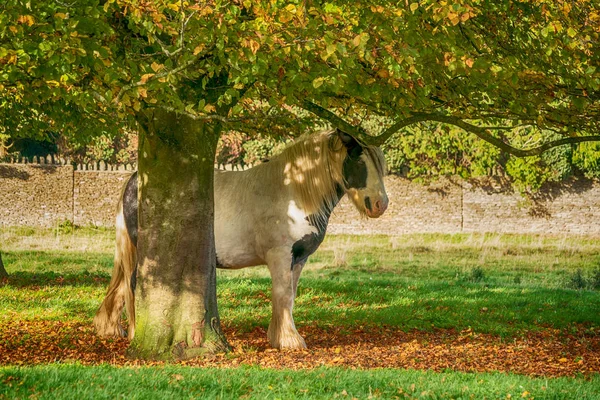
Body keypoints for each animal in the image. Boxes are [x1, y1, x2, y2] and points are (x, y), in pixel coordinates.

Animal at [94, 129, 390, 350]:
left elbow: (289, 296)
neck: (293, 193)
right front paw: (290, 341)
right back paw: (135, 333)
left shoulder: (299, 258)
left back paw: (112, 329)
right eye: (359, 162)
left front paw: (278, 337)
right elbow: (282, 294)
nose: (380, 204)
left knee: (121, 287)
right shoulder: (280, 255)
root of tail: (136, 181)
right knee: (133, 285)